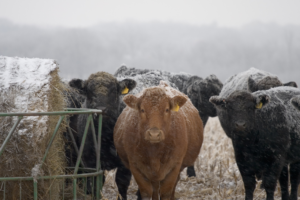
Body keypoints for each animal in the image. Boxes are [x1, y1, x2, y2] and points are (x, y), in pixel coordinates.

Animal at [69, 72, 136, 200]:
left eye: (114, 90)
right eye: (88, 91)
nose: (101, 109)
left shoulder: (125, 163)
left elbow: (121, 184)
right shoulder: (90, 161)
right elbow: (96, 183)